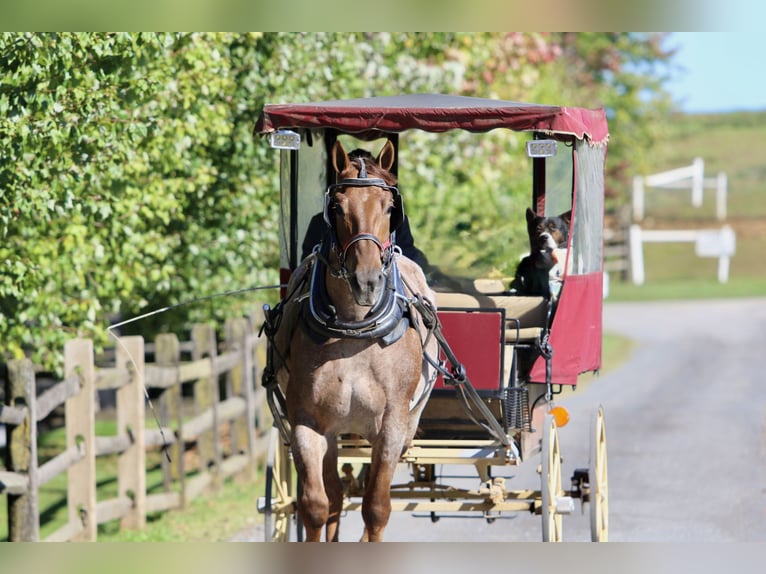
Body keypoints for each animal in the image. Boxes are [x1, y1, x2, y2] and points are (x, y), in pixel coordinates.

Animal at [274, 139, 437, 541]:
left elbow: (376, 509)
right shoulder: (307, 425)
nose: (367, 282)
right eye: (336, 207)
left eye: (390, 208)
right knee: (333, 496)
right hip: (334, 432)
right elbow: (316, 506)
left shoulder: (391, 427)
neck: (352, 330)